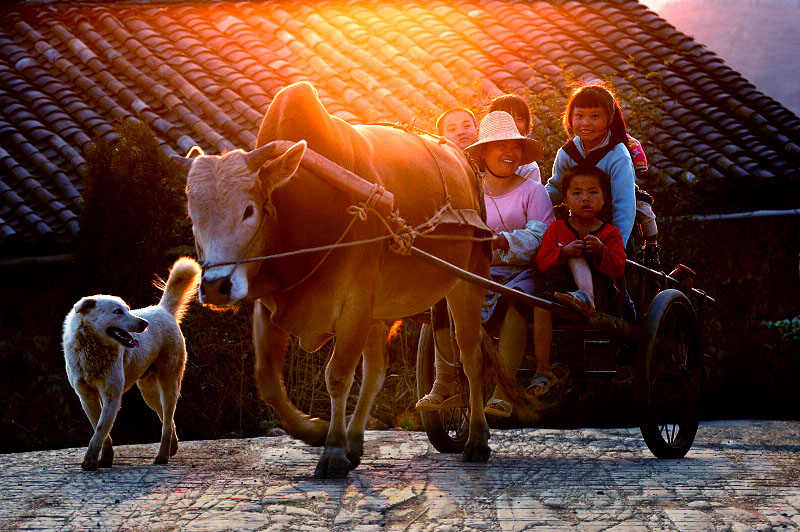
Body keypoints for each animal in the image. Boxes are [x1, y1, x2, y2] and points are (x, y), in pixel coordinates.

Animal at [65, 258, 203, 470]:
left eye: (128, 310)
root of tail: (164, 310)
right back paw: (172, 447)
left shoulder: (112, 396)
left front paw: (91, 460)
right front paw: (105, 460)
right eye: (117, 312)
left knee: (167, 419)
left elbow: (100, 430)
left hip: (169, 383)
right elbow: (101, 430)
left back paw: (162, 456)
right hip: (148, 392)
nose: (144, 323)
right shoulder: (86, 397)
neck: (93, 350)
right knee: (166, 418)